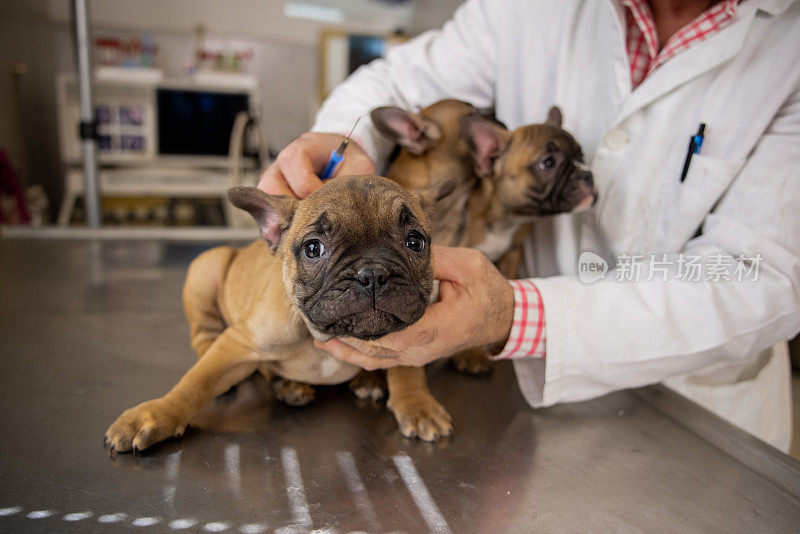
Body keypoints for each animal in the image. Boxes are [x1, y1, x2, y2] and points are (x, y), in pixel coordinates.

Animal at [105, 177, 454, 452]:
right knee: (204, 338)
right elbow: (195, 383)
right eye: (313, 249)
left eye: (415, 242)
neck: (319, 337)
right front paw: (155, 415)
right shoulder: (240, 340)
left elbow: (408, 365)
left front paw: (417, 404)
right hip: (207, 266)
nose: (372, 273)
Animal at [372, 102, 596, 374]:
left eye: (582, 156)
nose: (587, 174)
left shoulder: (512, 254)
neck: (502, 219)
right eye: (548, 163)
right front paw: (471, 354)